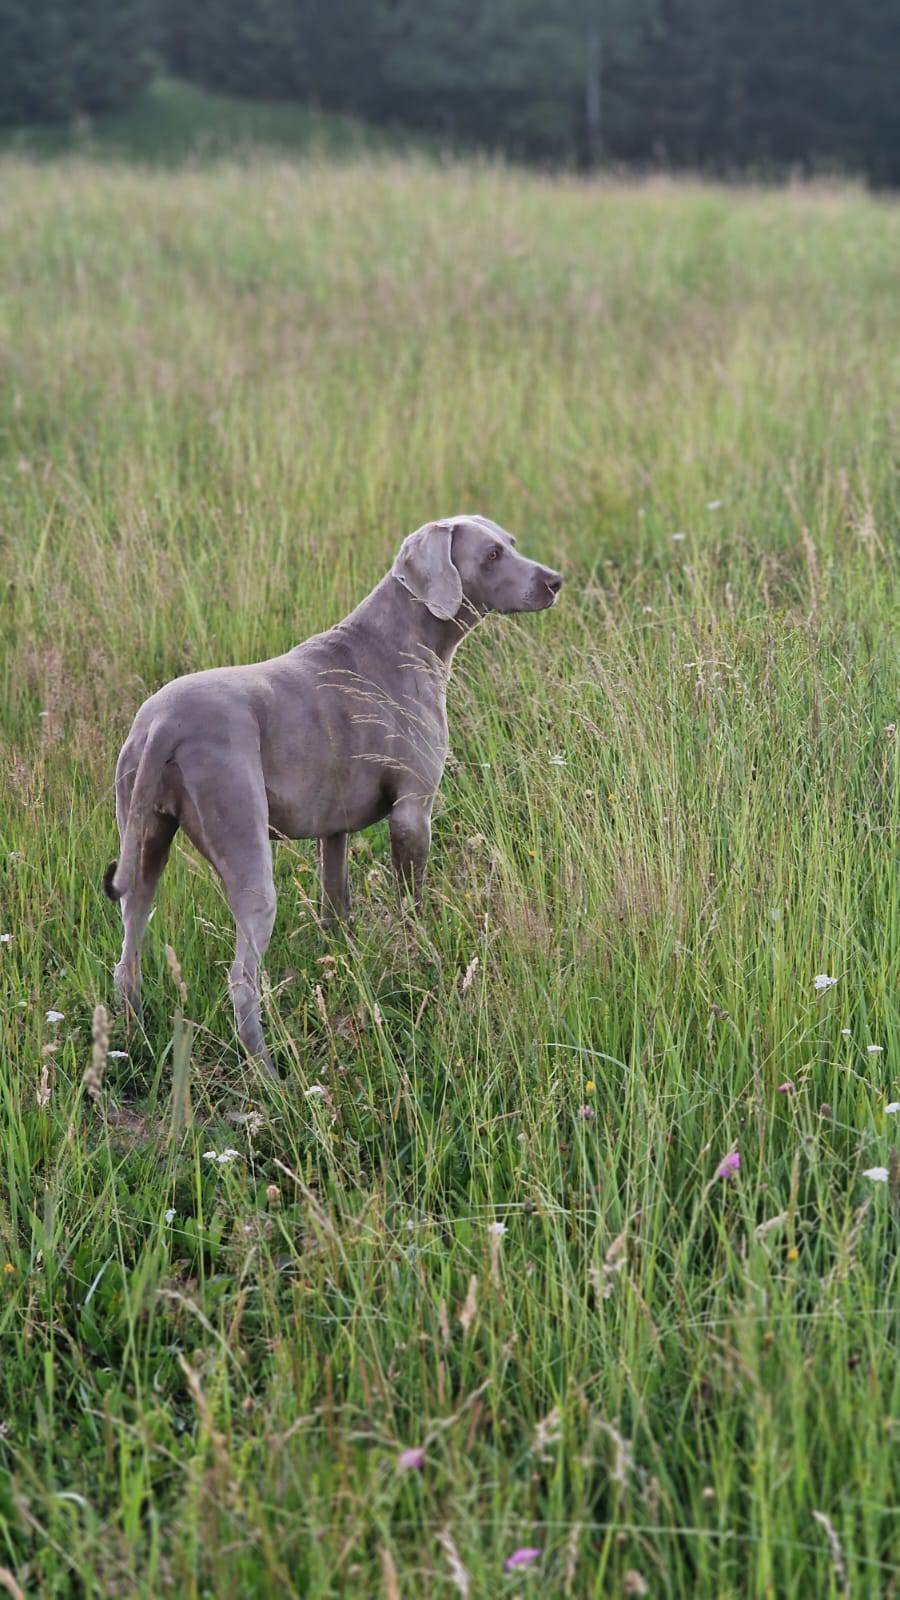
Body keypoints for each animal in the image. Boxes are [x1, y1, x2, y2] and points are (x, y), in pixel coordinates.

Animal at [104, 515, 560, 1075]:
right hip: (243, 845)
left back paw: (134, 1040)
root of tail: (162, 723)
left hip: (143, 839)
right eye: (493, 555)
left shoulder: (334, 829)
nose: (555, 581)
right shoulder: (413, 812)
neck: (403, 640)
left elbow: (335, 906)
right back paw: (271, 1077)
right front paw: (420, 963)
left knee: (128, 951)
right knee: (241, 980)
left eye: (511, 544)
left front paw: (345, 963)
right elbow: (412, 907)